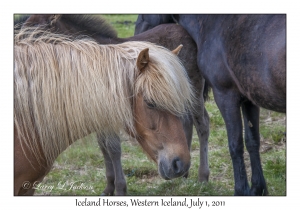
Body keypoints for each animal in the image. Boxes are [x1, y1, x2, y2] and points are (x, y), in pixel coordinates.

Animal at [18, 14, 210, 195]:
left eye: (34, 31)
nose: (19, 45)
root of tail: (184, 31)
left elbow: (113, 149)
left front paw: (119, 189)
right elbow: (104, 148)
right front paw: (109, 187)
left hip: (194, 92)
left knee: (202, 124)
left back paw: (203, 177)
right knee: (187, 123)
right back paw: (184, 175)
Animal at [134, 14, 286, 195]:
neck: (216, 25)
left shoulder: (225, 95)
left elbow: (235, 145)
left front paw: (241, 190)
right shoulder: (250, 100)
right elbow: (252, 141)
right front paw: (258, 189)